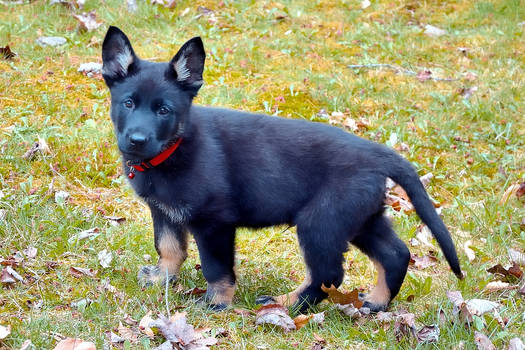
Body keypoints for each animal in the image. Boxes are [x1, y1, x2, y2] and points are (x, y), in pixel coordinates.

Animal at [100, 26, 460, 312]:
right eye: (128, 103)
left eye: (164, 110)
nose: (136, 140)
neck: (174, 149)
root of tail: (378, 152)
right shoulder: (164, 211)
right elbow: (169, 247)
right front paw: (161, 278)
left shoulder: (214, 222)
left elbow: (217, 268)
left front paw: (217, 303)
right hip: (359, 217)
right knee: (395, 254)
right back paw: (376, 302)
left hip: (320, 223)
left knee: (328, 274)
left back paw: (286, 303)